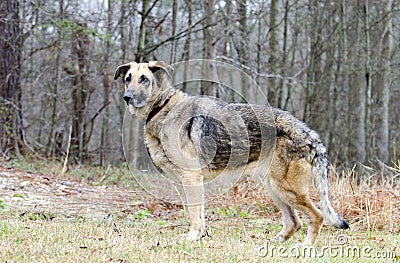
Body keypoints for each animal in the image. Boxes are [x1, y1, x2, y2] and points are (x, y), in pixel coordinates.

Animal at [114, 60, 348, 245]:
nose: (127, 97)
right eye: (128, 78)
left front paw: (192, 237)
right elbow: (196, 213)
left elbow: (194, 214)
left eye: (144, 79)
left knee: (317, 216)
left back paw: (305, 247)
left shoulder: (191, 179)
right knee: (294, 222)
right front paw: (199, 236)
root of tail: (309, 134)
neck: (163, 107)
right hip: (275, 189)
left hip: (287, 190)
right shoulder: (186, 183)